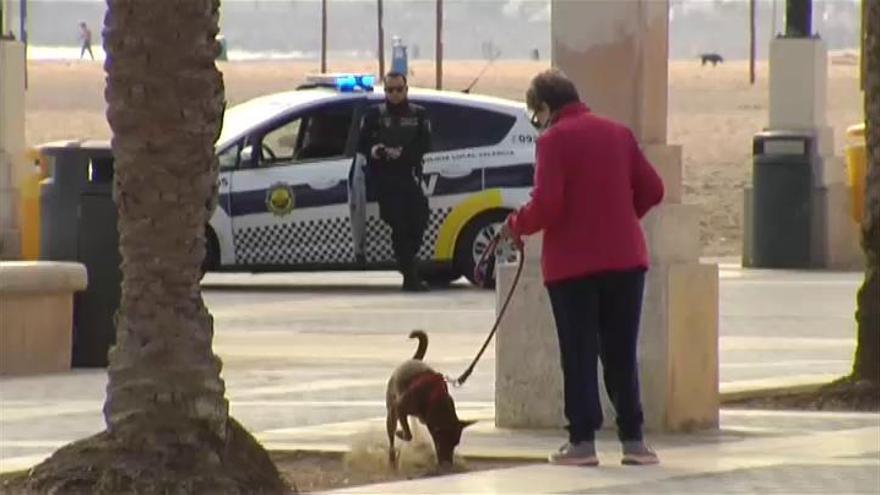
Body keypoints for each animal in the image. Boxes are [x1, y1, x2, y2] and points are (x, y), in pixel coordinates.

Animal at [386, 330, 478, 468]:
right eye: (442, 443)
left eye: (455, 443)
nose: (448, 464)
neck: (436, 398)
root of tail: (413, 359)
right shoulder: (400, 407)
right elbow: (408, 434)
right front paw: (401, 433)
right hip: (391, 412)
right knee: (391, 435)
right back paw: (392, 457)